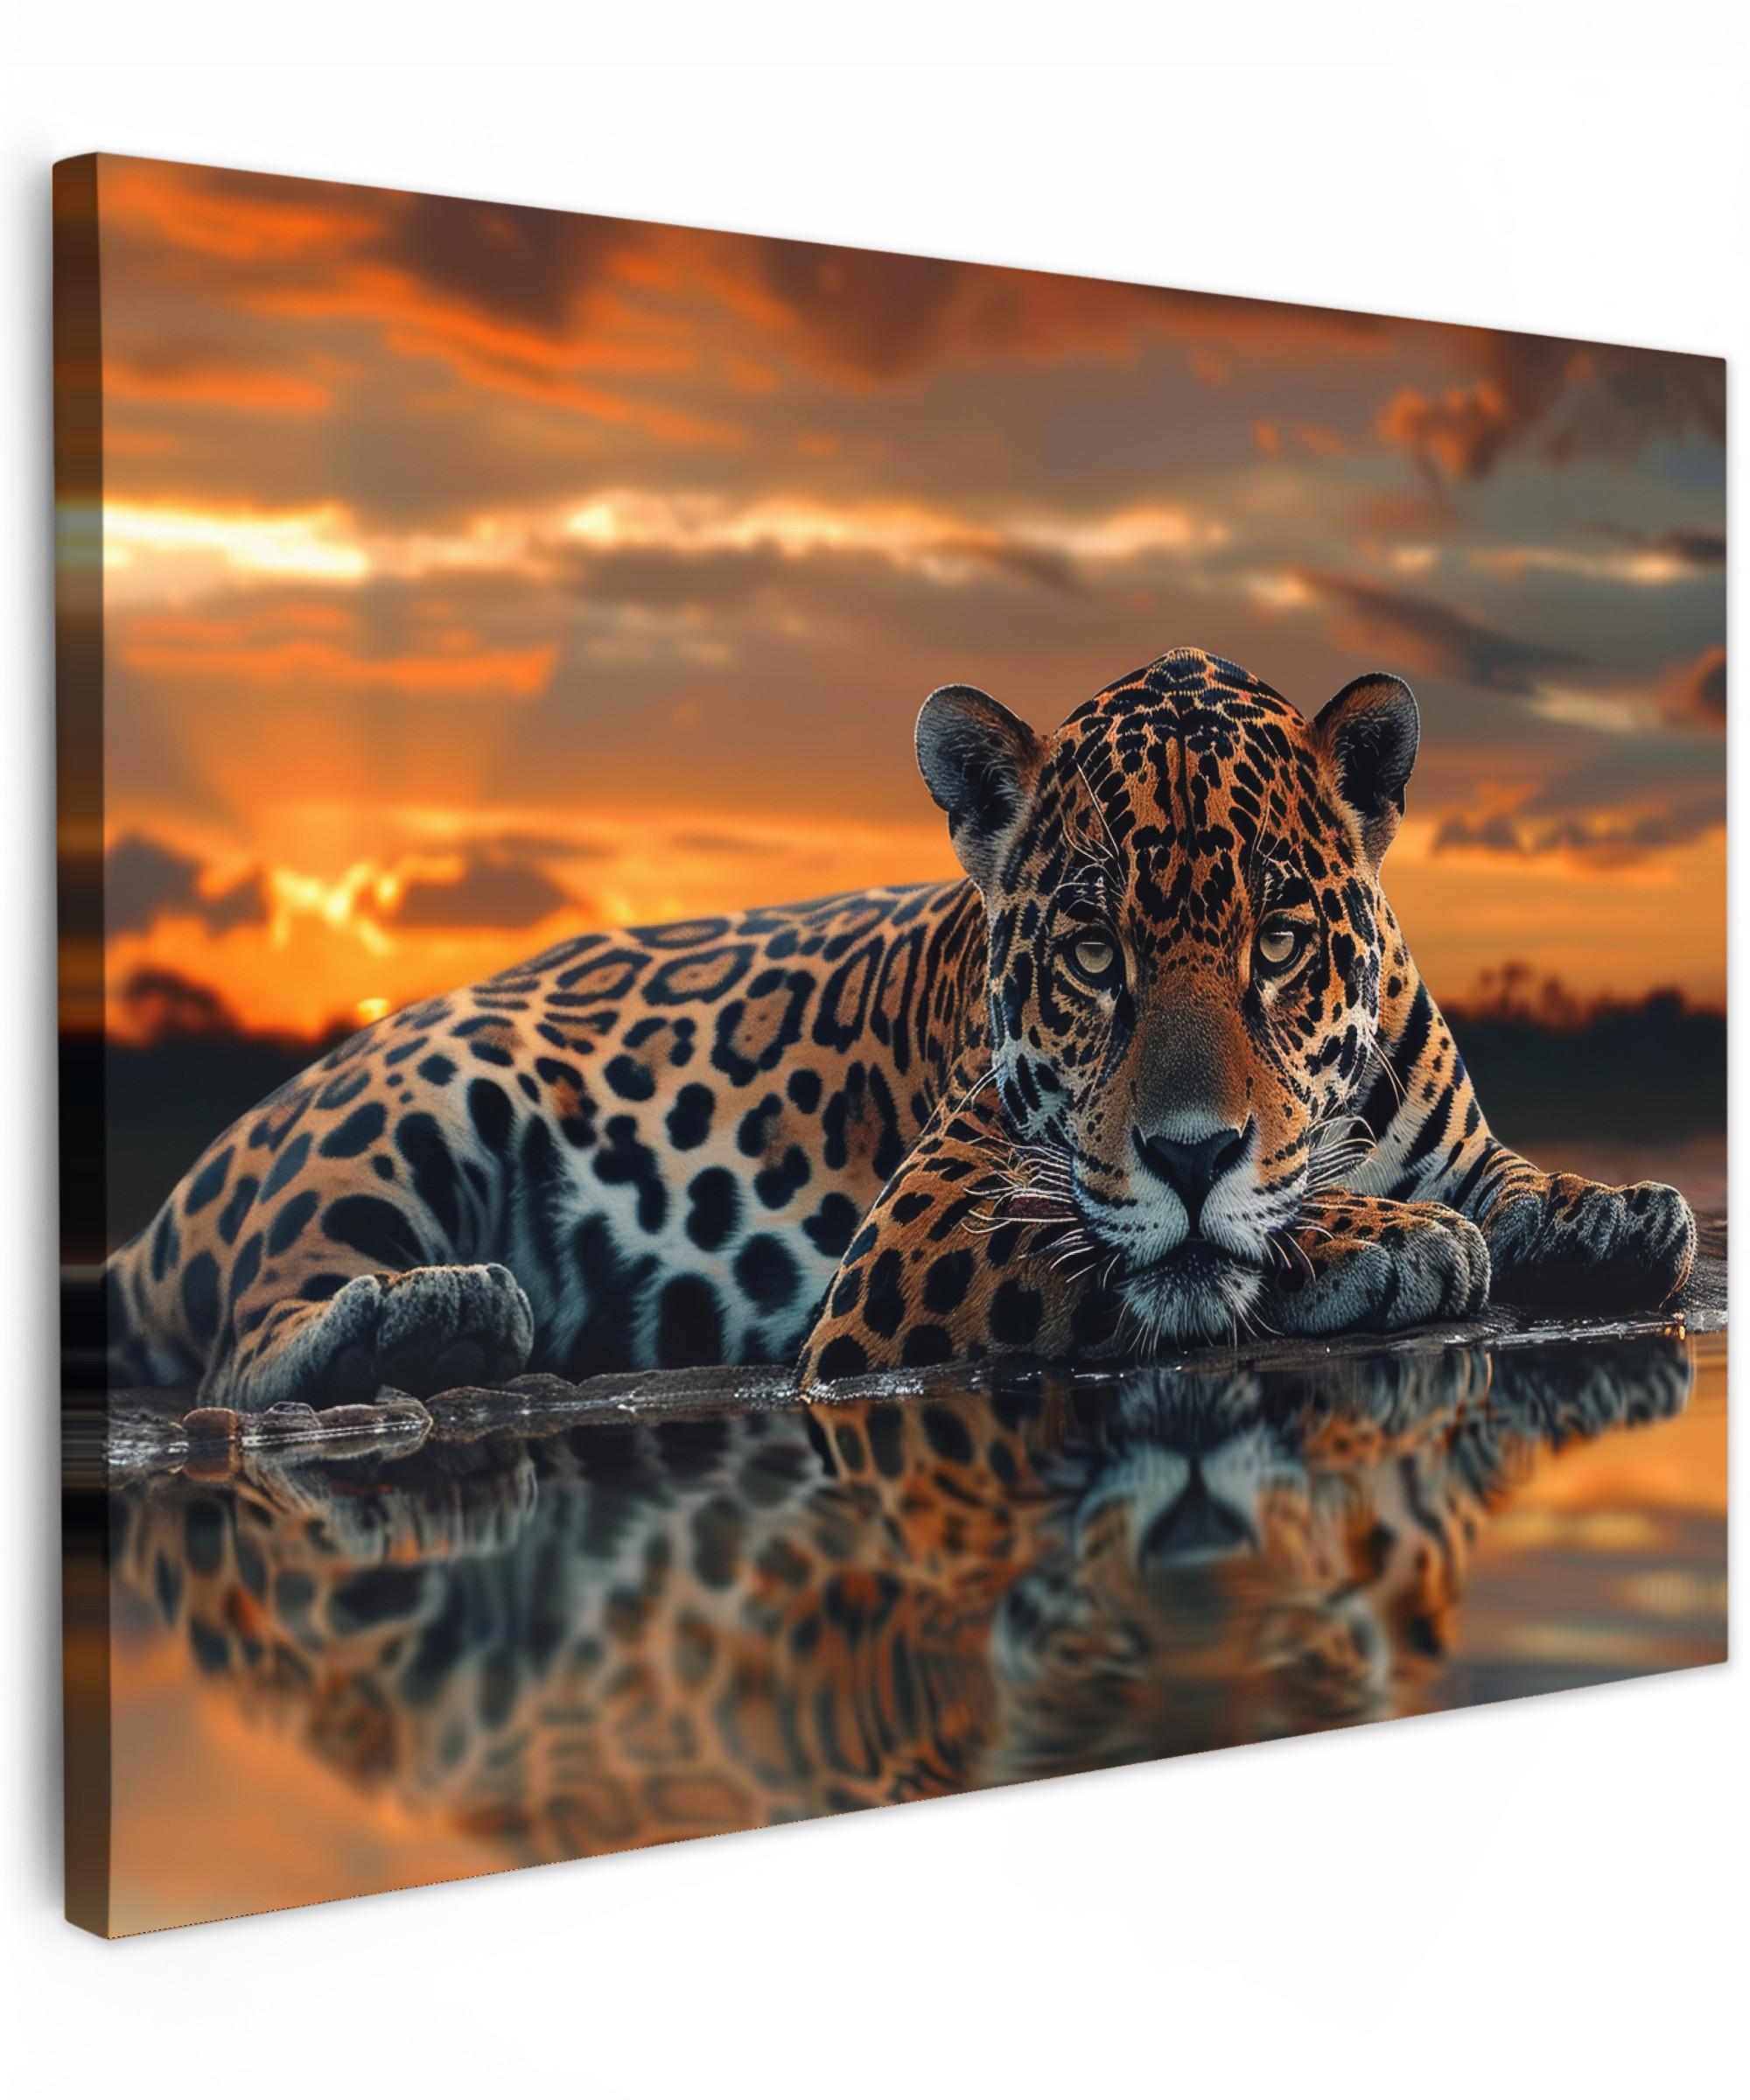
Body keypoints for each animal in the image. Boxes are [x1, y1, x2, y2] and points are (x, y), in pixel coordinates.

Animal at [101, 647, 1695, 1409]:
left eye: (1281, 945)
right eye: (1093, 956)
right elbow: (1164, 1250)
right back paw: (433, 1318)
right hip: (416, 1098)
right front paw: (1391, 1240)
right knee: (242, 1348)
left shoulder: (1452, 1135)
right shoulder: (921, 1240)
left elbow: (1512, 1179)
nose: (1190, 1151)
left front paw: (1614, 1210)